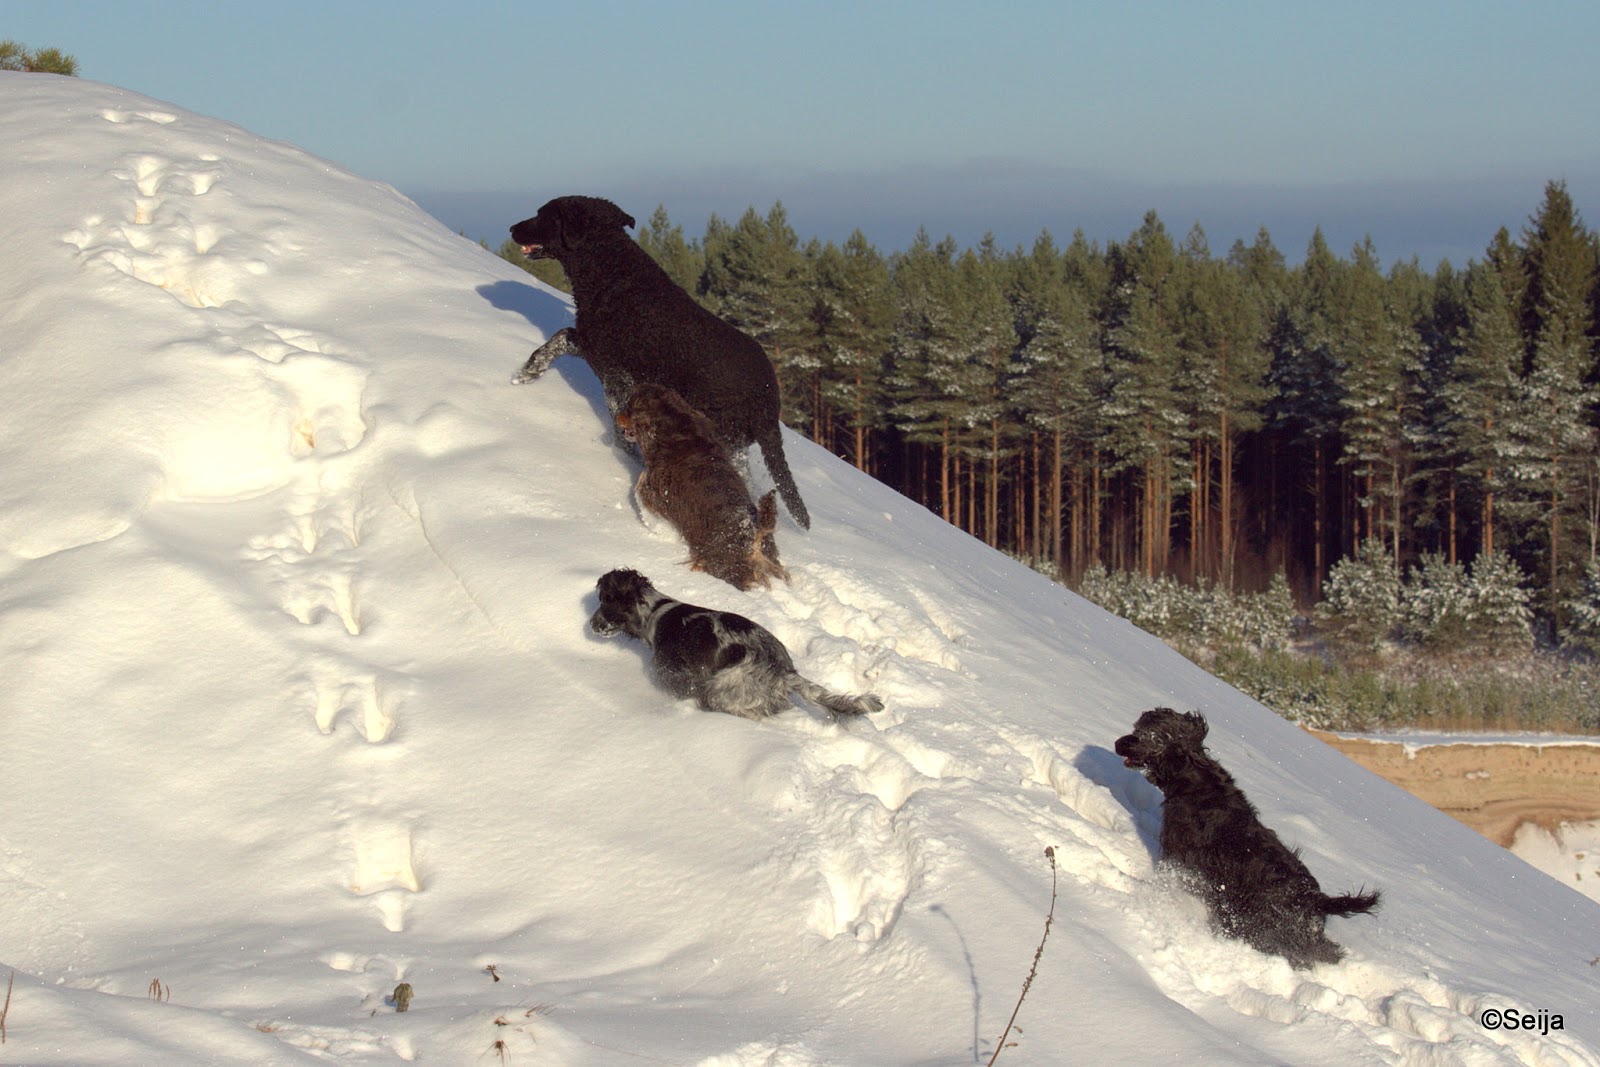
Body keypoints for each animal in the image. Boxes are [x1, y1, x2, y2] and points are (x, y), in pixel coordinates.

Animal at [509, 195, 810, 530]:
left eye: (542, 215)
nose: (512, 228)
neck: (610, 272)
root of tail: (770, 401)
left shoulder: (615, 375)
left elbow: (621, 428)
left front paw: (627, 457)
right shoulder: (591, 346)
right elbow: (557, 339)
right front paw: (529, 371)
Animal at [589, 568, 883, 721]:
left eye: (604, 601)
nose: (591, 624)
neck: (656, 613)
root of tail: (784, 672)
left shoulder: (673, 672)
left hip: (721, 687)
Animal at [616, 384, 788, 591]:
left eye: (629, 407)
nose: (617, 416)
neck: (674, 422)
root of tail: (754, 534)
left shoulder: (656, 490)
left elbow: (641, 488)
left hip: (723, 563)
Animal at [1114, 708, 1380, 968]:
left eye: (1146, 735)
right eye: (1137, 727)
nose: (1118, 743)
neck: (1194, 781)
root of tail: (1314, 899)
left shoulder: (1179, 857)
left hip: (1257, 925)